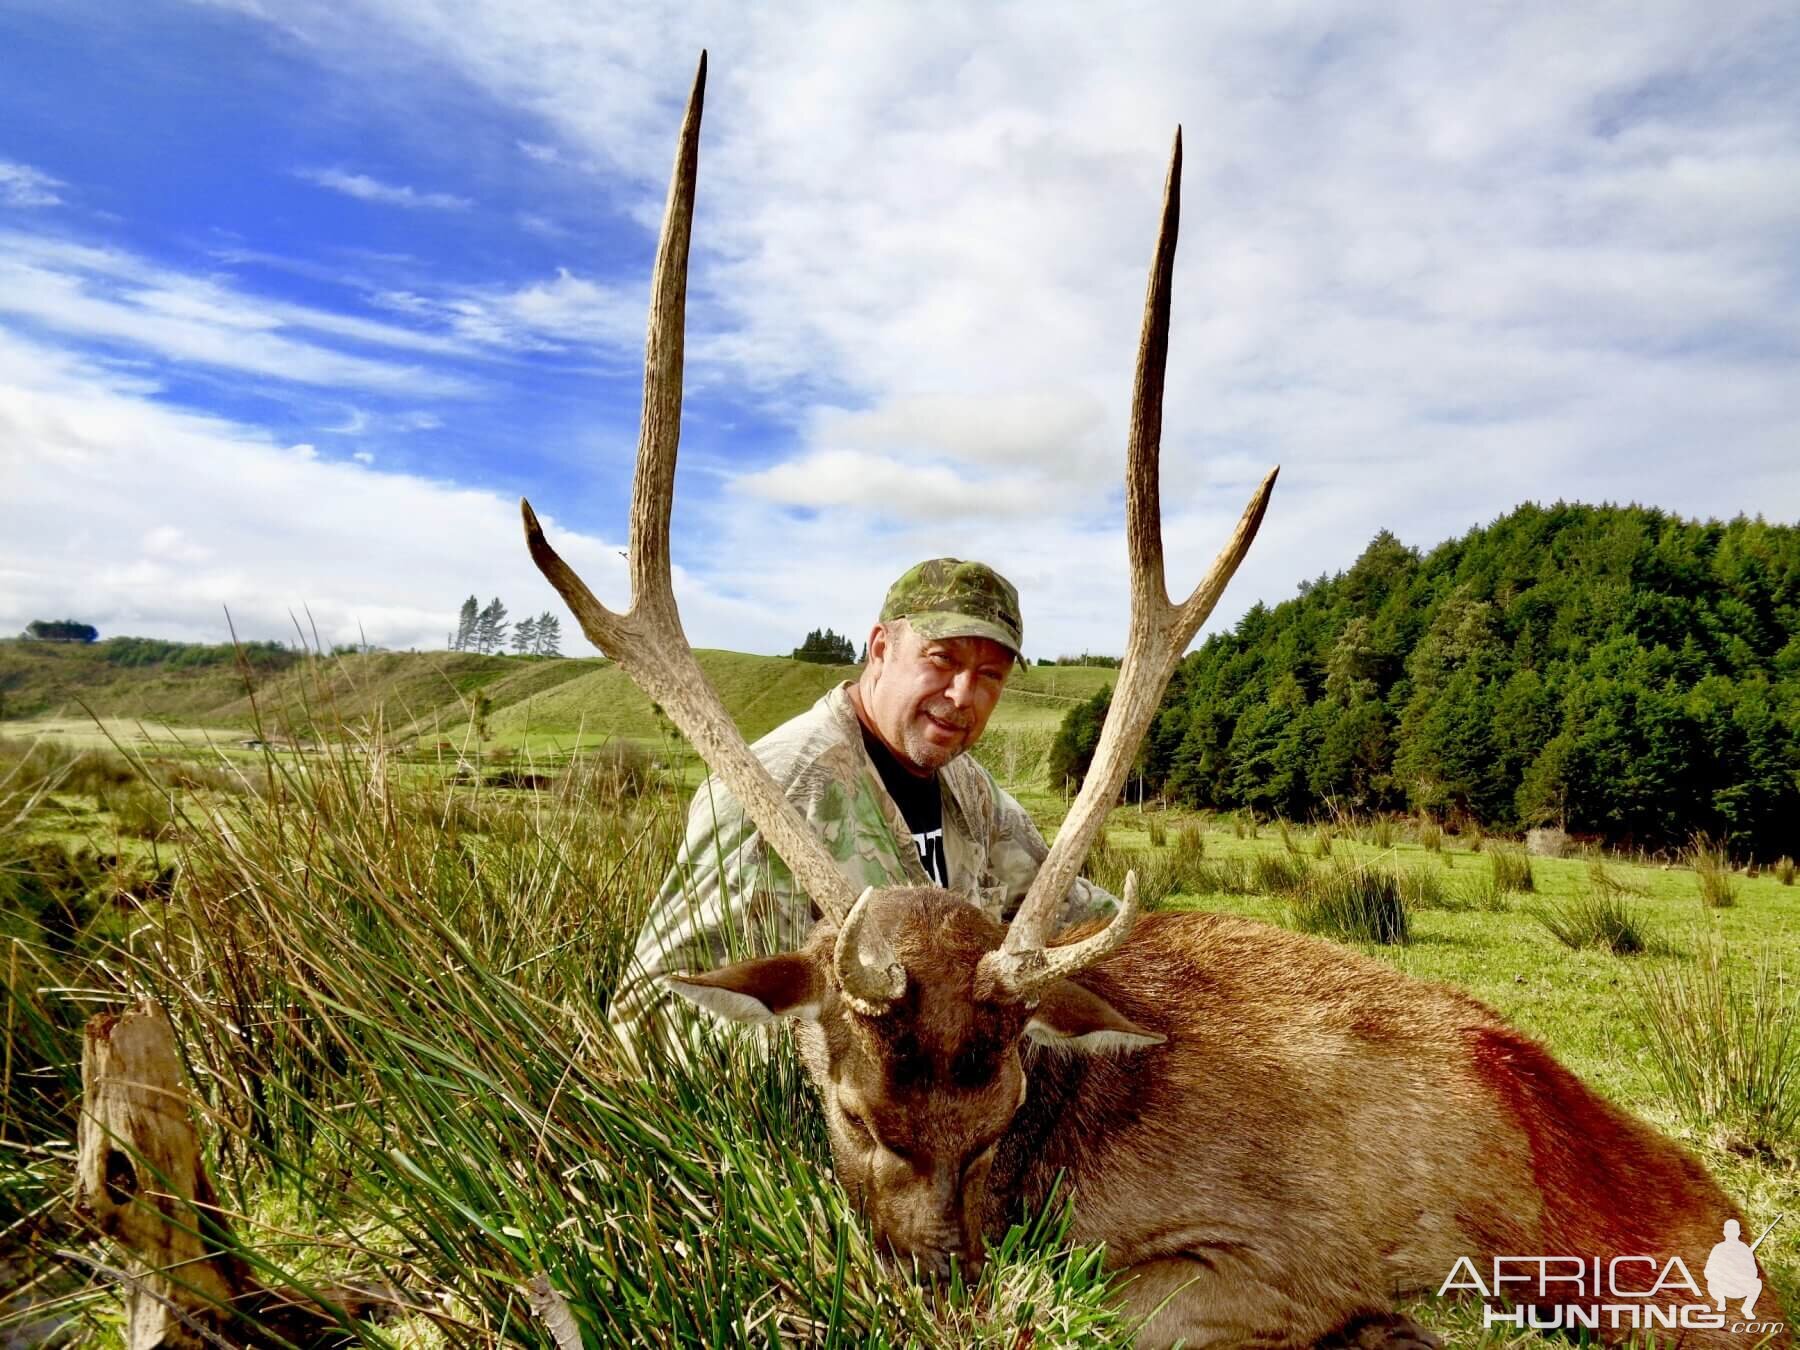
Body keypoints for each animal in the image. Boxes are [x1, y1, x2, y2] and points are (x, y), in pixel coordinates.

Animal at [522, 55, 1785, 1350]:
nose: (935, 1293)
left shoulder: (1278, 1260)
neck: (1065, 1139)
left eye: (1000, 1117)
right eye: (852, 1113)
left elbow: (1074, 1295)